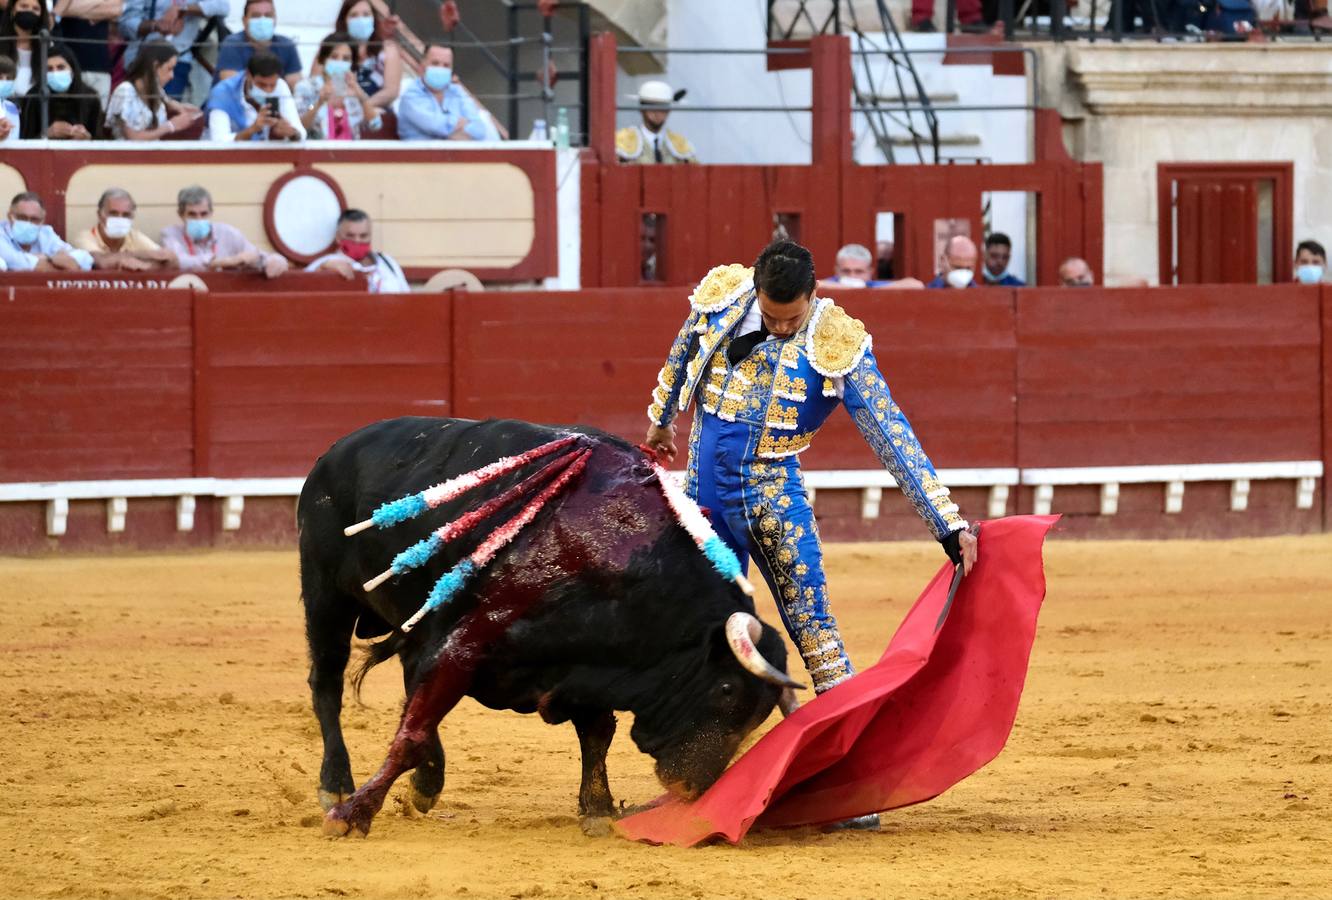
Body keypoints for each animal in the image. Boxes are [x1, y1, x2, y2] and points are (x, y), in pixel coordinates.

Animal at [299, 415, 799, 836]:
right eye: (727, 691)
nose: (691, 789)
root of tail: (337, 449)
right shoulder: (465, 645)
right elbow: (411, 733)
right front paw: (351, 815)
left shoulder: (592, 660)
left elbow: (597, 734)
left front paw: (597, 809)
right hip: (326, 595)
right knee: (327, 682)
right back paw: (336, 784)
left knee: (405, 673)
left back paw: (427, 784)